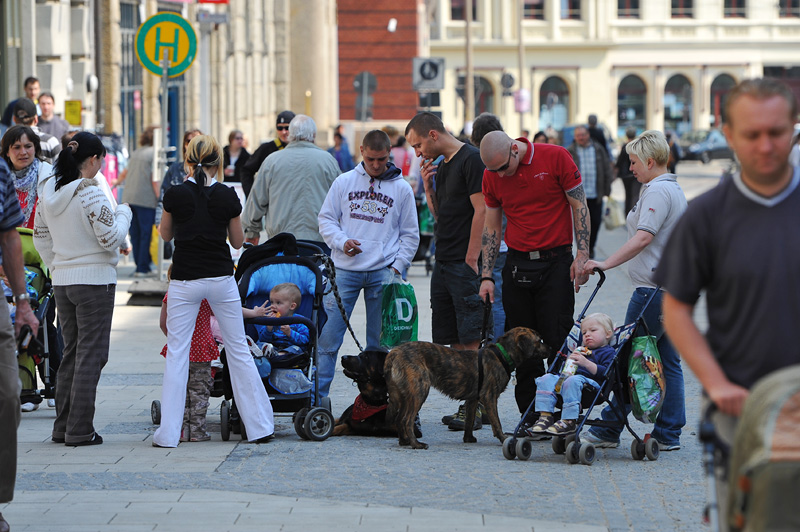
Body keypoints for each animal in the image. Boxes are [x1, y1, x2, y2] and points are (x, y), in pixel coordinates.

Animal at [382, 326, 552, 446]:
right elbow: (496, 423)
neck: (502, 354)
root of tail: (394, 352)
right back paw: (416, 444)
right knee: (406, 420)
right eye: (539, 340)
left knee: (399, 419)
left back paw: (404, 442)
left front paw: (468, 438)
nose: (551, 348)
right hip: (419, 391)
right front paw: (504, 439)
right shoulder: (489, 397)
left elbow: (469, 421)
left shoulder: (472, 399)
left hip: (405, 395)